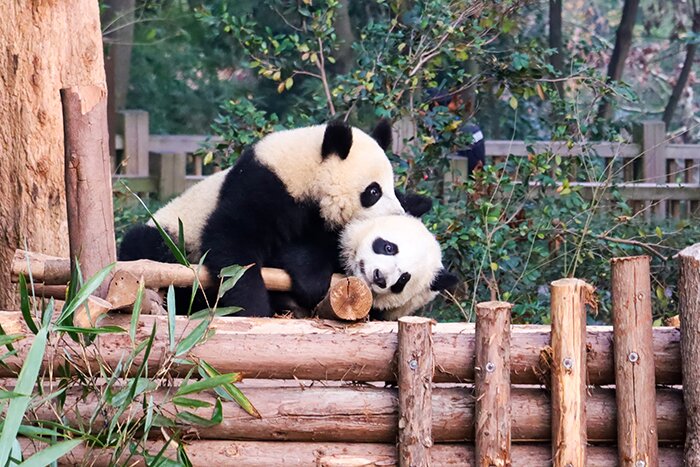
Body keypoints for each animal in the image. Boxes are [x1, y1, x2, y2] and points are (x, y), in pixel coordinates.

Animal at [119, 119, 404, 317]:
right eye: (374, 191)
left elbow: (319, 248)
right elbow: (232, 244)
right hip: (172, 235)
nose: (399, 216)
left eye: (392, 186)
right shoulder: (262, 186)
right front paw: (252, 309)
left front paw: (308, 280)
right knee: (145, 245)